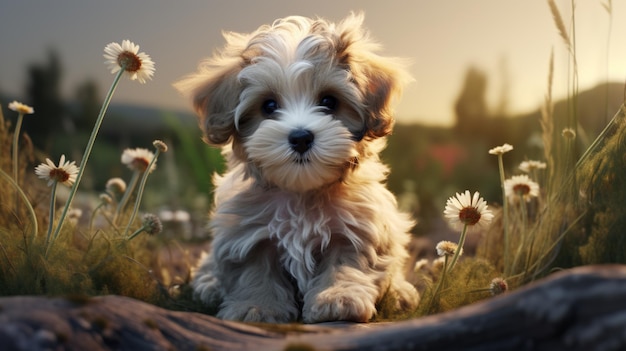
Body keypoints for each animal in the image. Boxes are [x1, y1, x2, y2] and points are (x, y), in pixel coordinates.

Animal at [176, 11, 416, 324]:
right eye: (268, 106)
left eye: (329, 101)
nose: (301, 137)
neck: (301, 191)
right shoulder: (247, 234)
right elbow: (254, 273)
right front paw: (257, 307)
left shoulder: (357, 227)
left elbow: (347, 264)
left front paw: (338, 299)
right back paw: (209, 284)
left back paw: (399, 293)